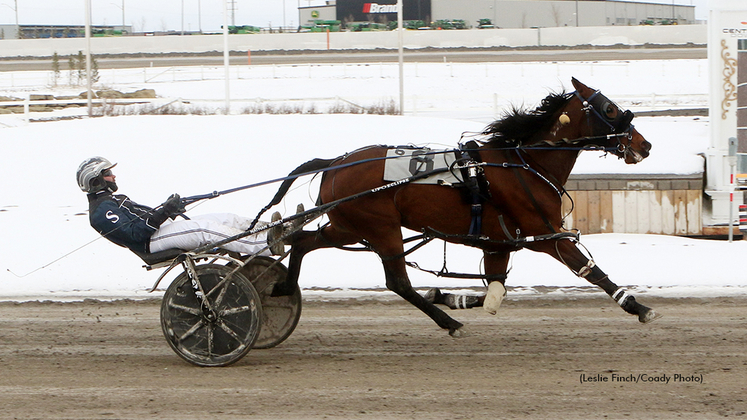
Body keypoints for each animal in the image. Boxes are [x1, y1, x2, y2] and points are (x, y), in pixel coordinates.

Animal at [266, 78, 656, 334]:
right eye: (609, 108)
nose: (645, 144)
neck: (524, 164)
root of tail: (335, 162)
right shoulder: (546, 234)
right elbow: (590, 270)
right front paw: (638, 307)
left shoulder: (499, 243)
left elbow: (495, 291)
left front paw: (446, 295)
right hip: (382, 228)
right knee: (398, 282)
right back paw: (449, 322)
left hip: (348, 225)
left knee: (302, 241)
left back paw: (282, 287)